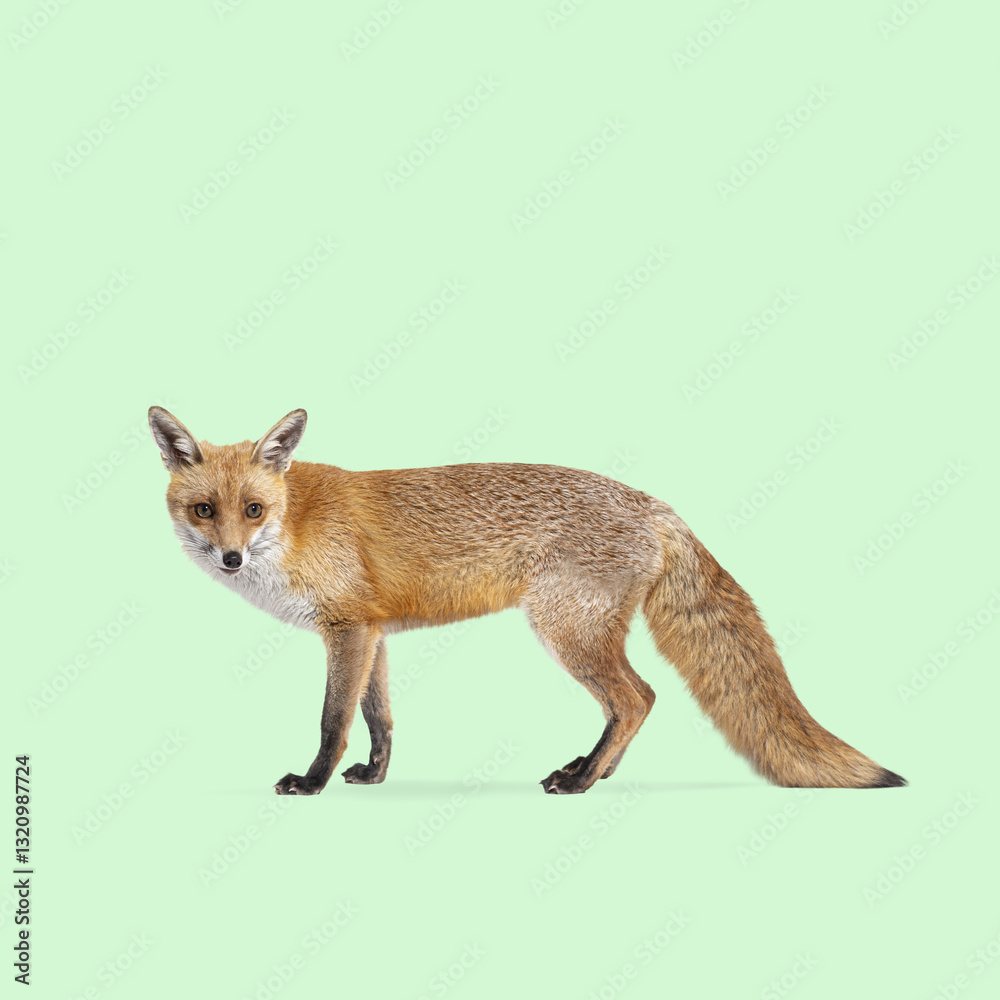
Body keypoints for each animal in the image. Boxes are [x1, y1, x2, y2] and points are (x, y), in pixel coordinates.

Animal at [148, 406, 905, 795]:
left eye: (252, 509)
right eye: (204, 510)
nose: (231, 557)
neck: (296, 521)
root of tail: (654, 505)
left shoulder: (348, 630)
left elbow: (334, 720)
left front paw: (313, 783)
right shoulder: (372, 630)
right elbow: (380, 717)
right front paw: (374, 775)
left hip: (566, 630)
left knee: (638, 698)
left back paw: (584, 780)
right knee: (631, 705)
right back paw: (591, 770)